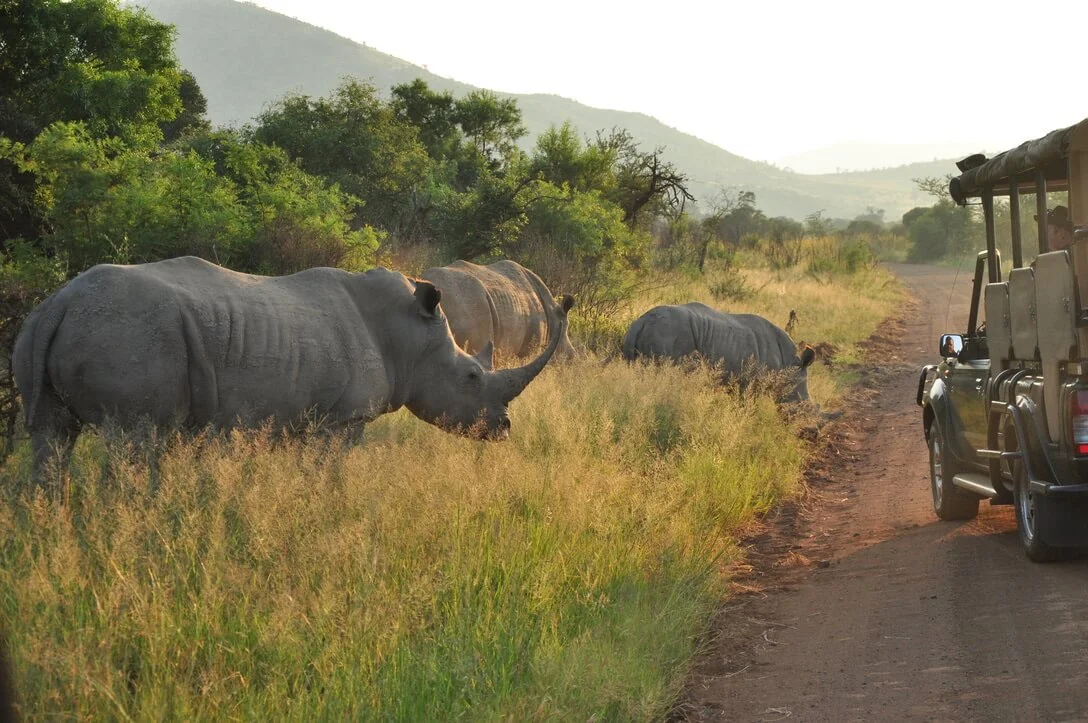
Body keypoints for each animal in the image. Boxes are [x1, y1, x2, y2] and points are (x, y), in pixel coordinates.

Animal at [621, 302, 816, 403]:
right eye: (804, 404)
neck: (790, 363)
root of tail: (640, 322)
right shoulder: (754, 384)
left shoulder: (740, 381)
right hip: (667, 333)